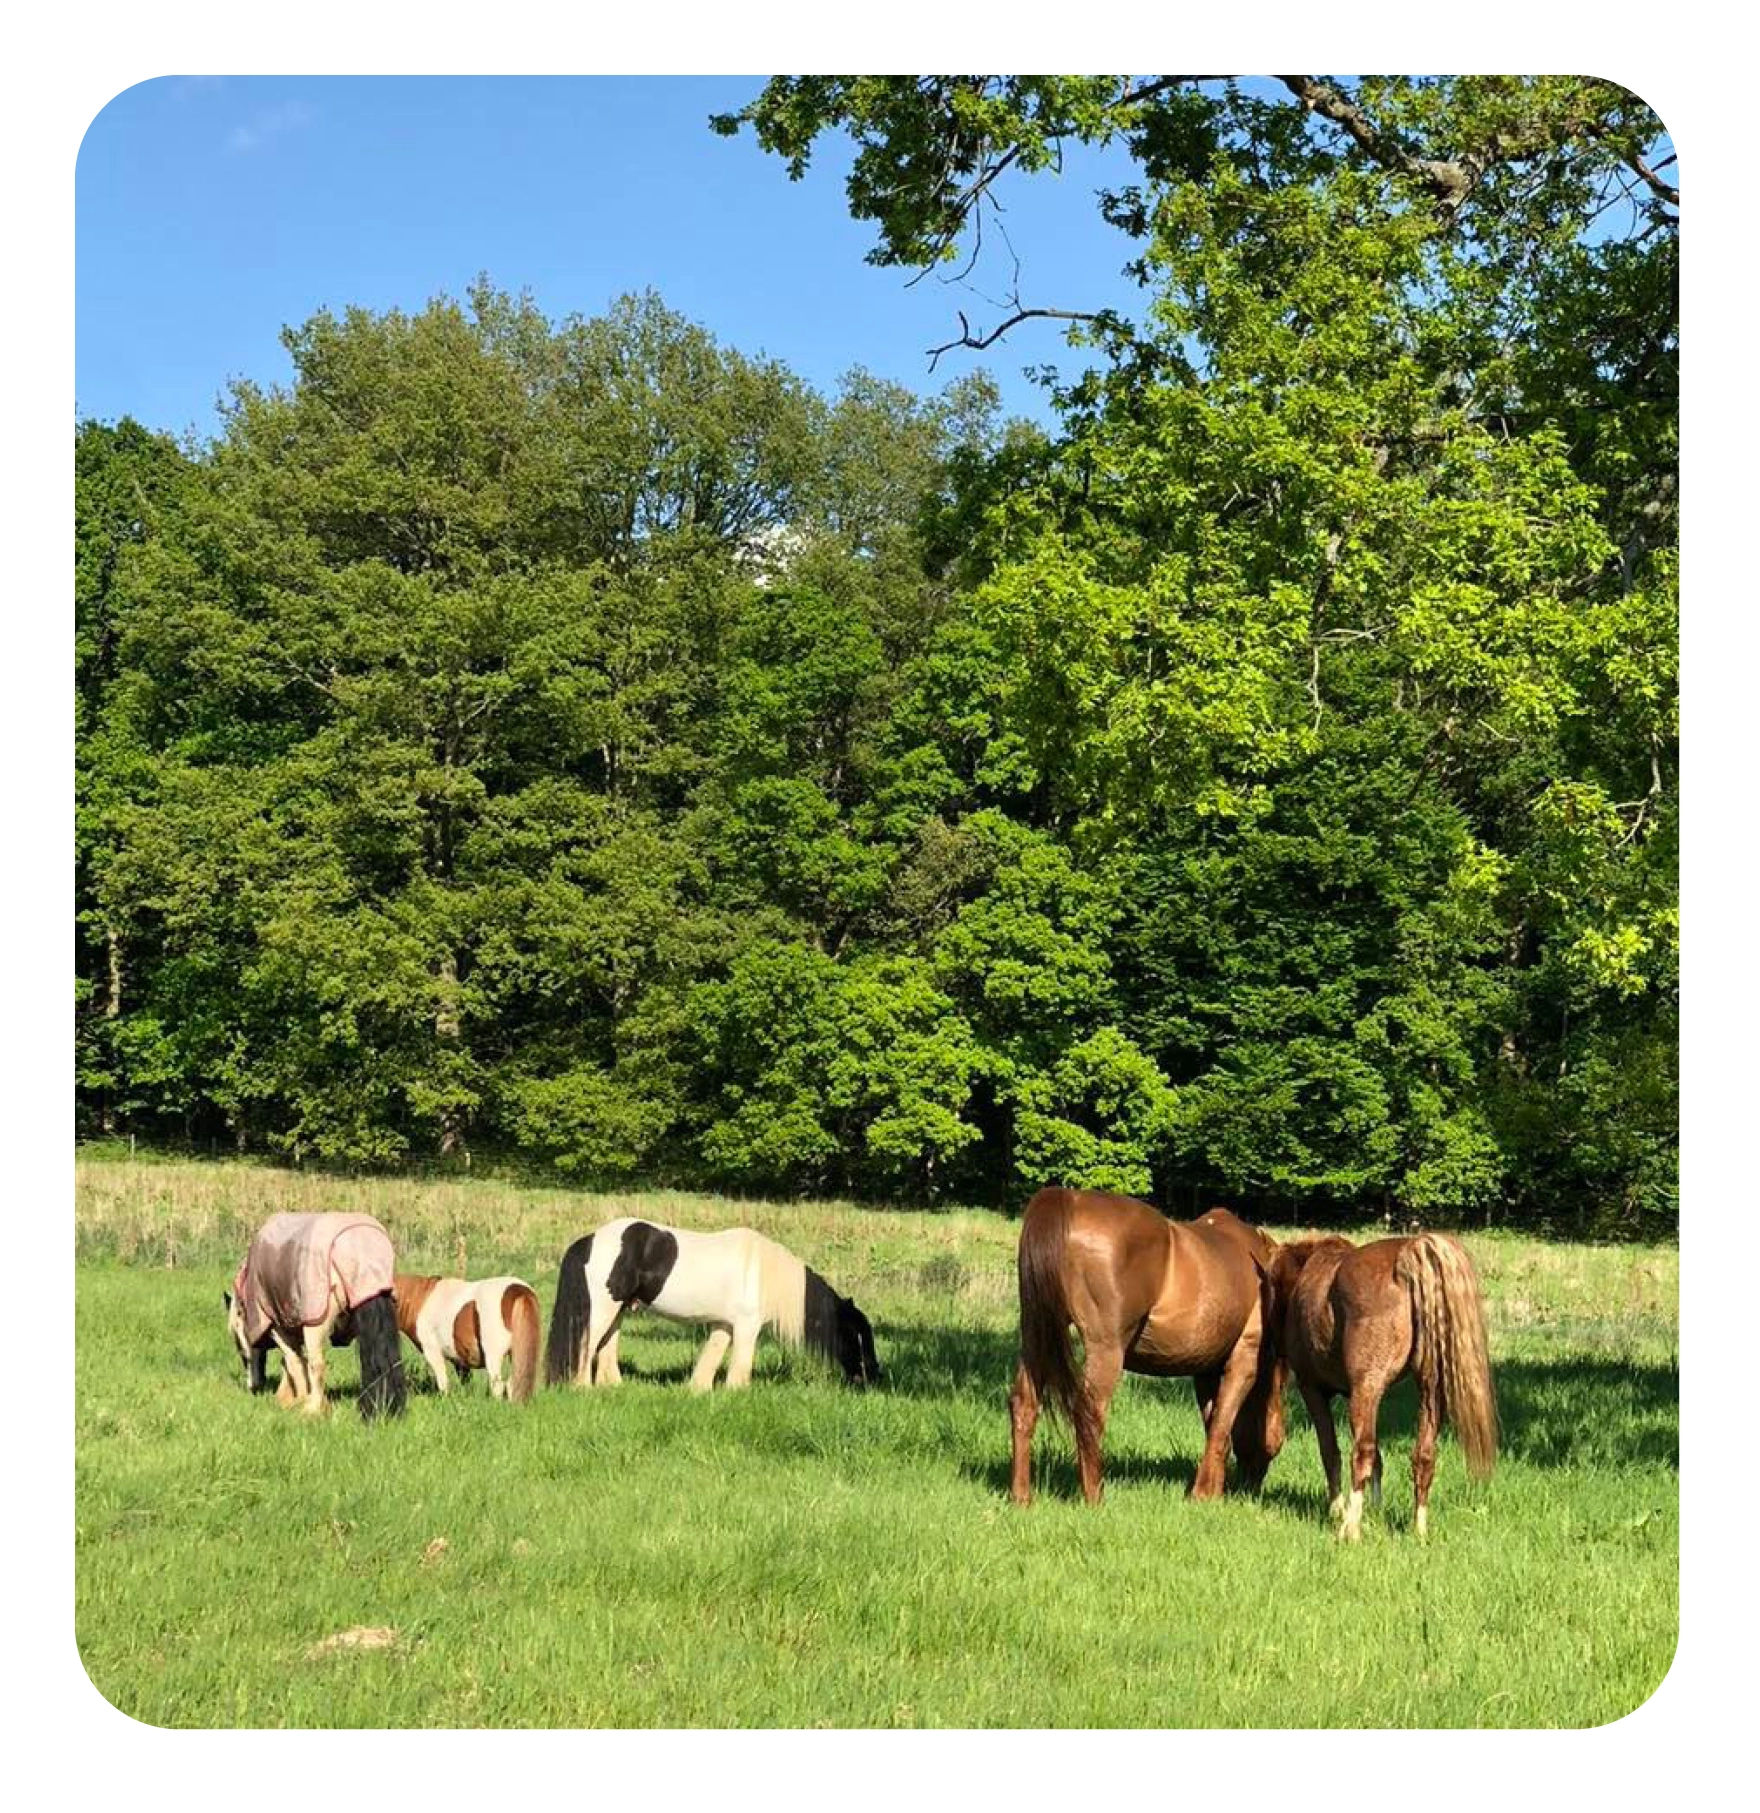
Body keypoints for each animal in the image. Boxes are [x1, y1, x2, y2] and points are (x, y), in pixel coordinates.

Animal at [395, 1276, 540, 1399]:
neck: (421, 1300)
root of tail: (518, 1291)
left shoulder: (433, 1352)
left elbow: (443, 1384)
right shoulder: (460, 1361)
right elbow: (465, 1383)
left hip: (493, 1356)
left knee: (498, 1386)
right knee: (513, 1384)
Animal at [543, 1225, 880, 1392]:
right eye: (856, 1334)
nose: (873, 1375)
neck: (762, 1273)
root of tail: (591, 1239)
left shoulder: (724, 1324)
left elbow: (711, 1357)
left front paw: (698, 1390)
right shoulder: (746, 1326)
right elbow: (740, 1366)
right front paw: (737, 1394)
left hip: (620, 1309)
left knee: (607, 1345)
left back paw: (613, 1386)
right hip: (603, 1307)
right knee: (588, 1343)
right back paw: (582, 1389)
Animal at [1015, 1182, 1290, 1508]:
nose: (1250, 1486)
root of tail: (1071, 1200)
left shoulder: (1206, 1368)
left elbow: (1214, 1424)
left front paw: (1211, 1490)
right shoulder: (1244, 1360)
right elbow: (1222, 1425)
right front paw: (1204, 1495)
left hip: (1037, 1337)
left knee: (1024, 1404)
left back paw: (1021, 1497)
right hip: (1106, 1350)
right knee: (1089, 1411)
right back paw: (1095, 1497)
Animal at [1268, 1225, 1500, 1537]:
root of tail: (1409, 1254)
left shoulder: (1313, 1389)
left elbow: (1331, 1452)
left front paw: (1337, 1511)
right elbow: (1378, 1455)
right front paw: (1375, 1512)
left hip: (1366, 1389)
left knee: (1361, 1454)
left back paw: (1350, 1529)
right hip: (1430, 1390)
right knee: (1424, 1457)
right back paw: (1418, 1530)